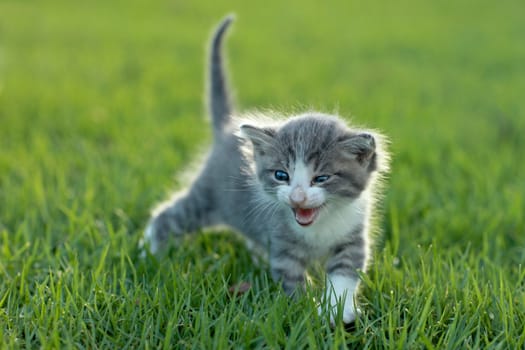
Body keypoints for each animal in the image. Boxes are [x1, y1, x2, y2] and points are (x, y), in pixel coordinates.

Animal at [141, 15, 386, 324]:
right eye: (282, 175)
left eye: (321, 178)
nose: (297, 197)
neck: (319, 226)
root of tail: (226, 131)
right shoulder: (281, 243)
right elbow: (291, 278)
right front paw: (303, 311)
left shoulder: (353, 236)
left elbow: (345, 273)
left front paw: (336, 311)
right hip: (205, 198)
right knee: (168, 216)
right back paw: (146, 252)